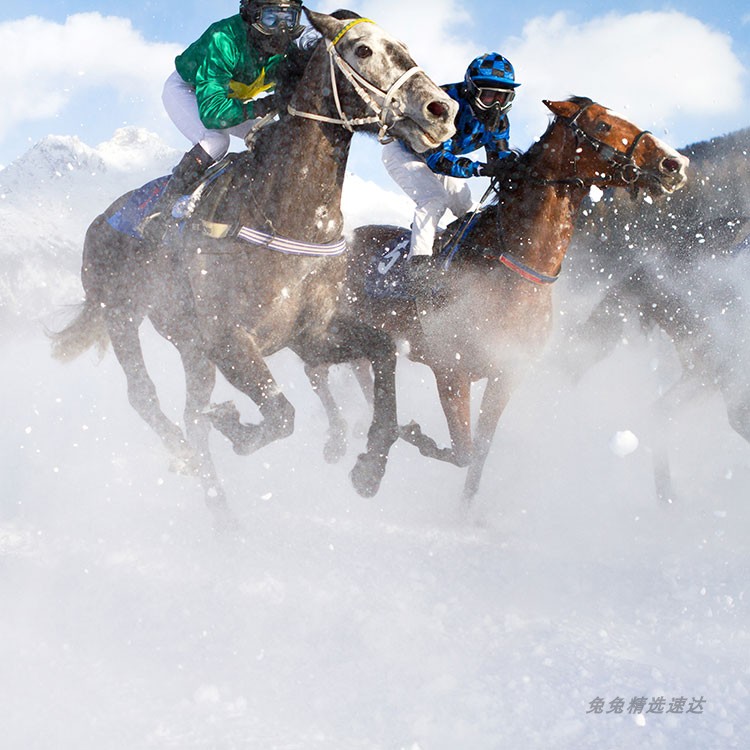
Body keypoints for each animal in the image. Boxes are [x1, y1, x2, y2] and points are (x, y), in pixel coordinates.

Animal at [50, 10, 458, 528]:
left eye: (403, 45)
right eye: (363, 49)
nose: (442, 110)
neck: (285, 213)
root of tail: (104, 217)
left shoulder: (309, 335)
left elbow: (382, 352)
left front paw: (370, 466)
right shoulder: (230, 341)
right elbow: (281, 415)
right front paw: (234, 424)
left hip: (191, 347)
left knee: (191, 414)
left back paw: (223, 516)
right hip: (120, 311)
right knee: (144, 395)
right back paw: (185, 456)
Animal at [308, 95, 692, 506]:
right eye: (603, 125)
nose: (674, 164)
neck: (515, 268)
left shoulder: (507, 375)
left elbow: (479, 452)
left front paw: (464, 510)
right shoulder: (451, 371)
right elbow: (462, 450)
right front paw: (410, 435)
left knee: (360, 373)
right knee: (316, 371)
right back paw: (337, 438)